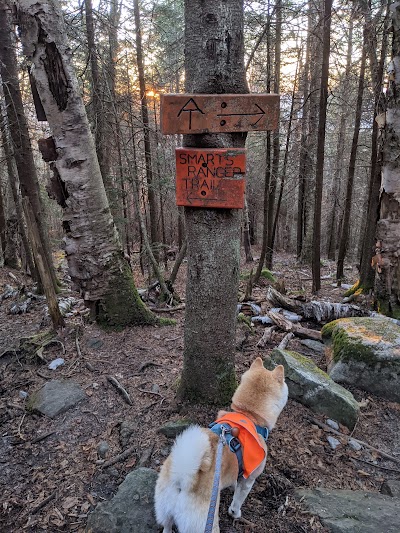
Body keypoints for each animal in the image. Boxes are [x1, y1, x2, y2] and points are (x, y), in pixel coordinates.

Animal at [153, 358, 288, 532]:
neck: (249, 415)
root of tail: (184, 480)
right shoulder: (249, 479)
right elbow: (238, 499)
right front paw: (235, 513)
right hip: (206, 524)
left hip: (164, 510)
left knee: (167, 526)